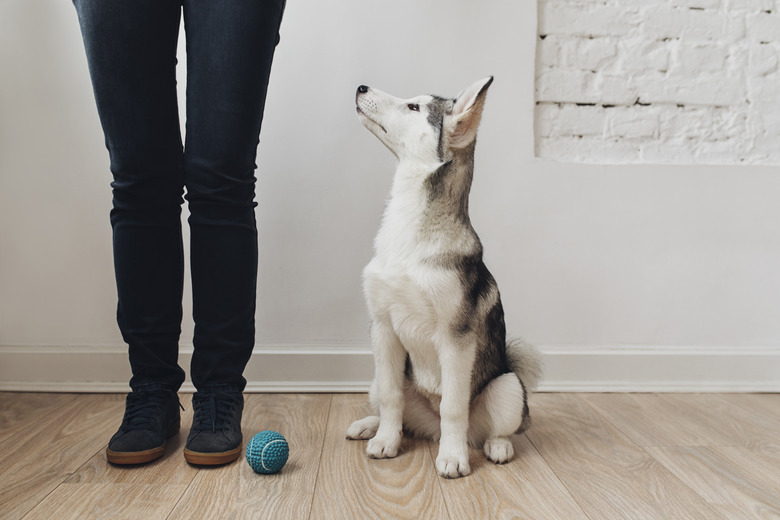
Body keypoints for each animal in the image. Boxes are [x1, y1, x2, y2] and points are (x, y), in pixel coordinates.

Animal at [348, 77, 544, 480]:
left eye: (414, 108)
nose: (360, 87)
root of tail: (431, 430)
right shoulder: (383, 329)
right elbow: (391, 397)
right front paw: (385, 441)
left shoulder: (456, 339)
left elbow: (454, 406)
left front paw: (452, 458)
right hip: (381, 379)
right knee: (399, 414)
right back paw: (370, 426)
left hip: (507, 386)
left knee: (491, 428)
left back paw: (495, 446)